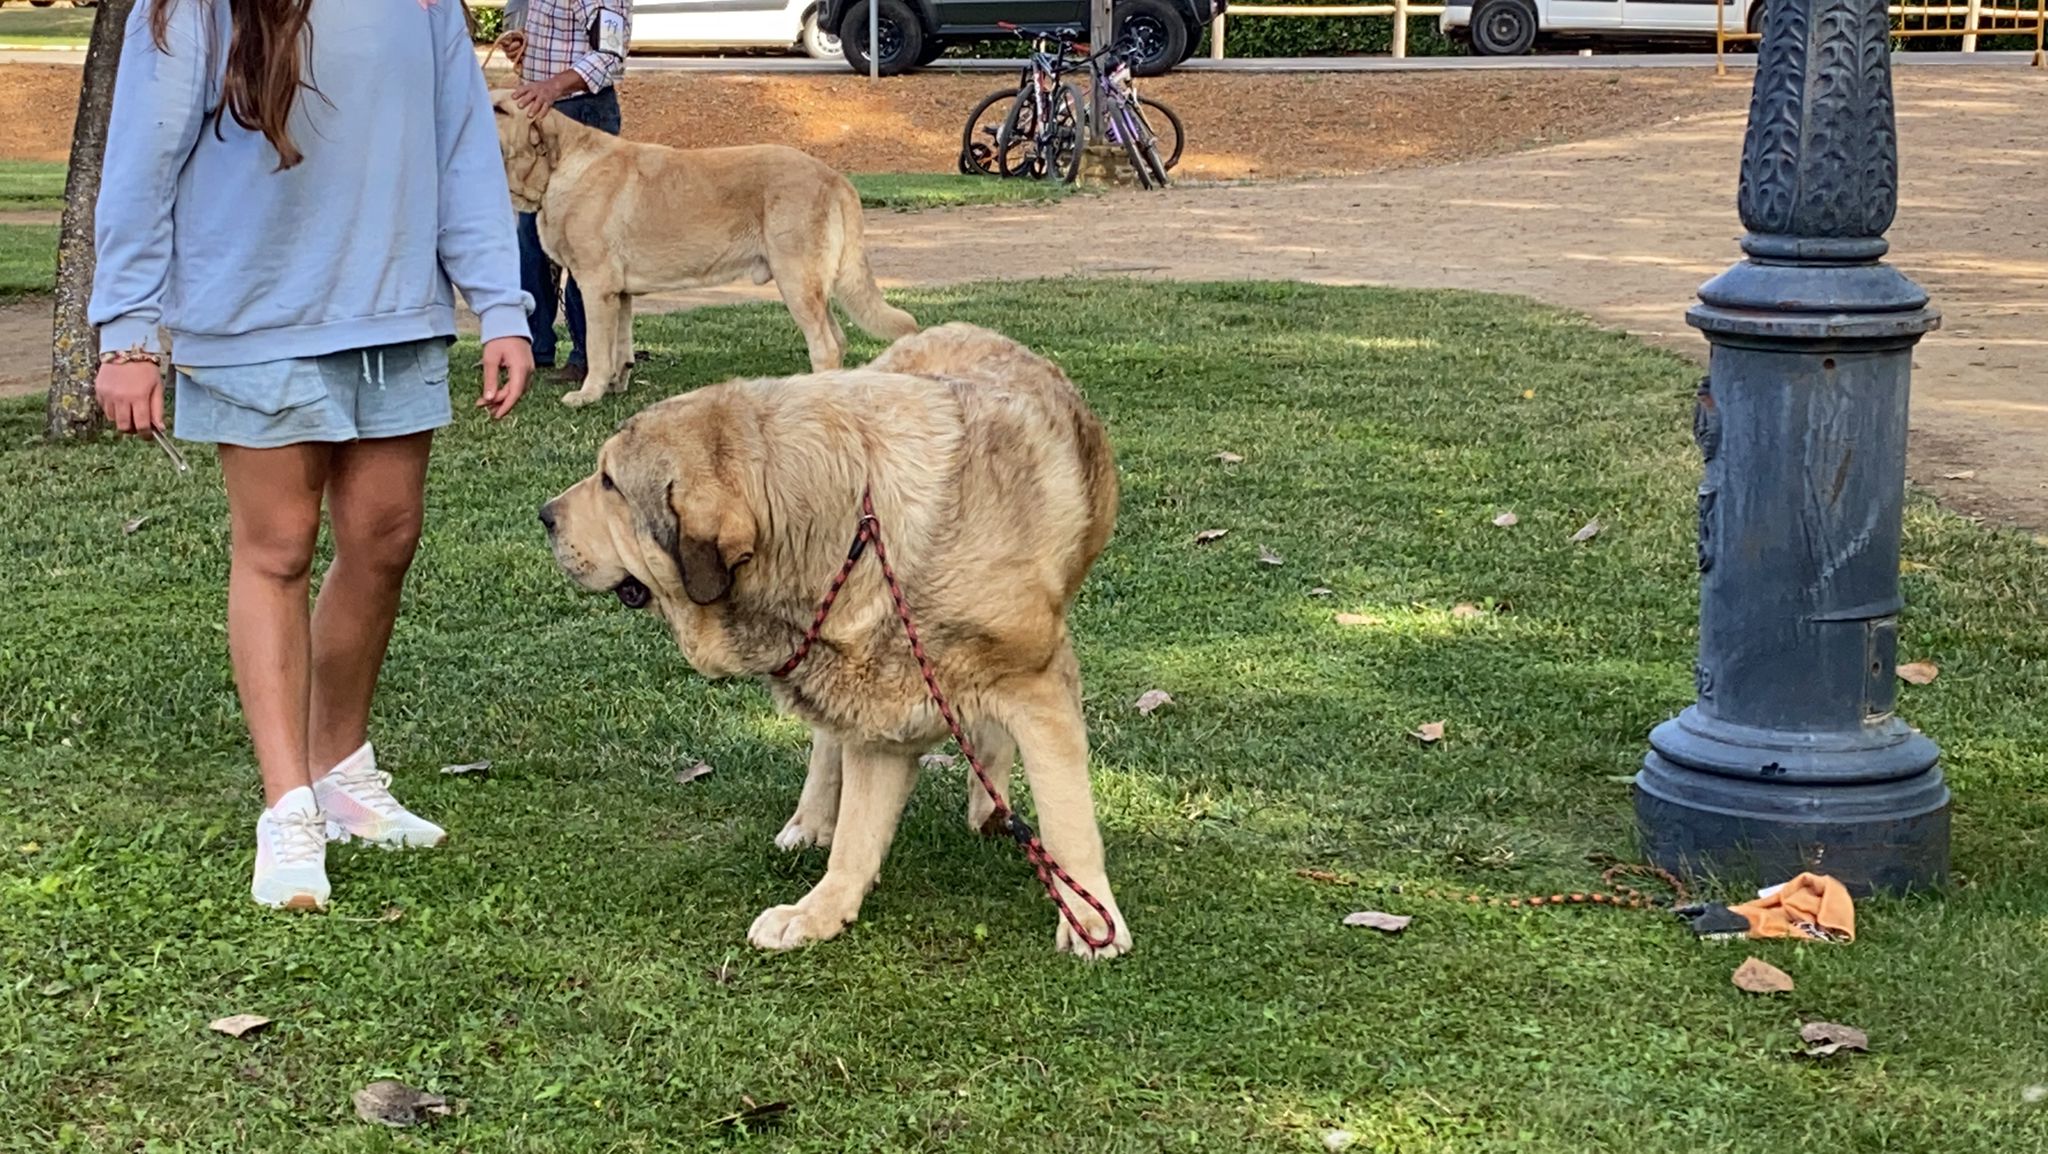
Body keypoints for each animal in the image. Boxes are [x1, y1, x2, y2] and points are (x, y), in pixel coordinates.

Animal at [491, 95, 917, 409]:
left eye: (501, 109)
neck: (556, 168)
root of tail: (834, 177)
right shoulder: (619, 293)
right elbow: (619, 345)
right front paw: (615, 384)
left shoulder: (595, 287)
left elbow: (597, 349)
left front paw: (587, 393)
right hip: (811, 287)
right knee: (837, 341)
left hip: (796, 280)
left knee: (825, 346)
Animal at [536, 323, 1130, 959]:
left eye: (610, 483)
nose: (544, 515)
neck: (859, 532)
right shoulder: (879, 718)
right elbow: (855, 837)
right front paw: (820, 909)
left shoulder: (1037, 685)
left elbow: (1067, 817)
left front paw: (1091, 918)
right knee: (828, 747)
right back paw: (813, 819)